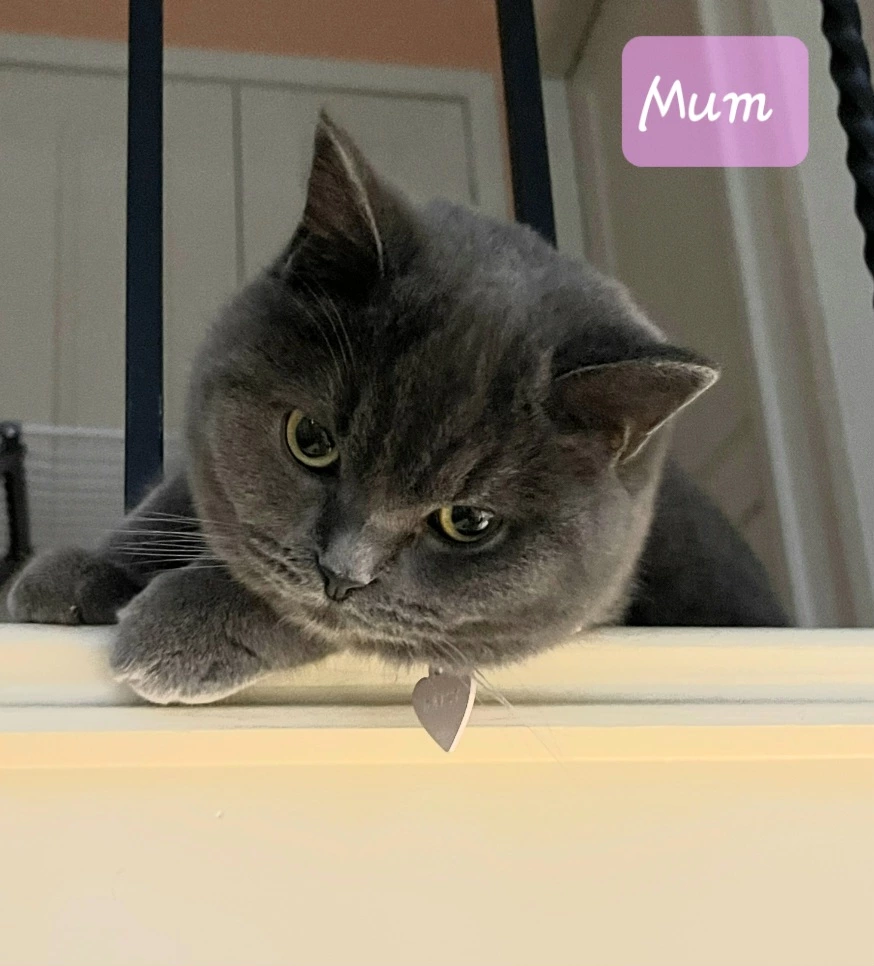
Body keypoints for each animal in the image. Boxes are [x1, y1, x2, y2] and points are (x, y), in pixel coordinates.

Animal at [6, 113, 787, 703]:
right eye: (311, 439)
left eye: (467, 522)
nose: (341, 574)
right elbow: (186, 499)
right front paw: (80, 572)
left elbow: (342, 617)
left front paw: (182, 623)